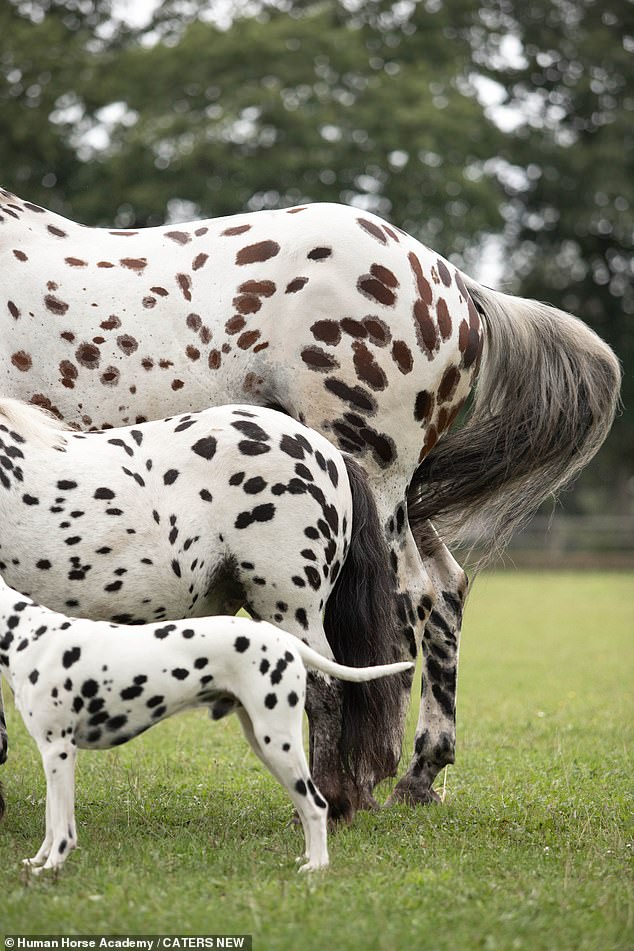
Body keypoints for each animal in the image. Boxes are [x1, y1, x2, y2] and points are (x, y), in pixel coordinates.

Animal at [0, 576, 412, 872]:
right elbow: (52, 822)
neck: (29, 634)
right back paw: (310, 859)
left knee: (316, 804)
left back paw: (317, 868)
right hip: (267, 744)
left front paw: (51, 867)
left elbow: (61, 827)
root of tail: (283, 638)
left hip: (279, 742)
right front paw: (39, 860)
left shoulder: (58, 752)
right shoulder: (54, 756)